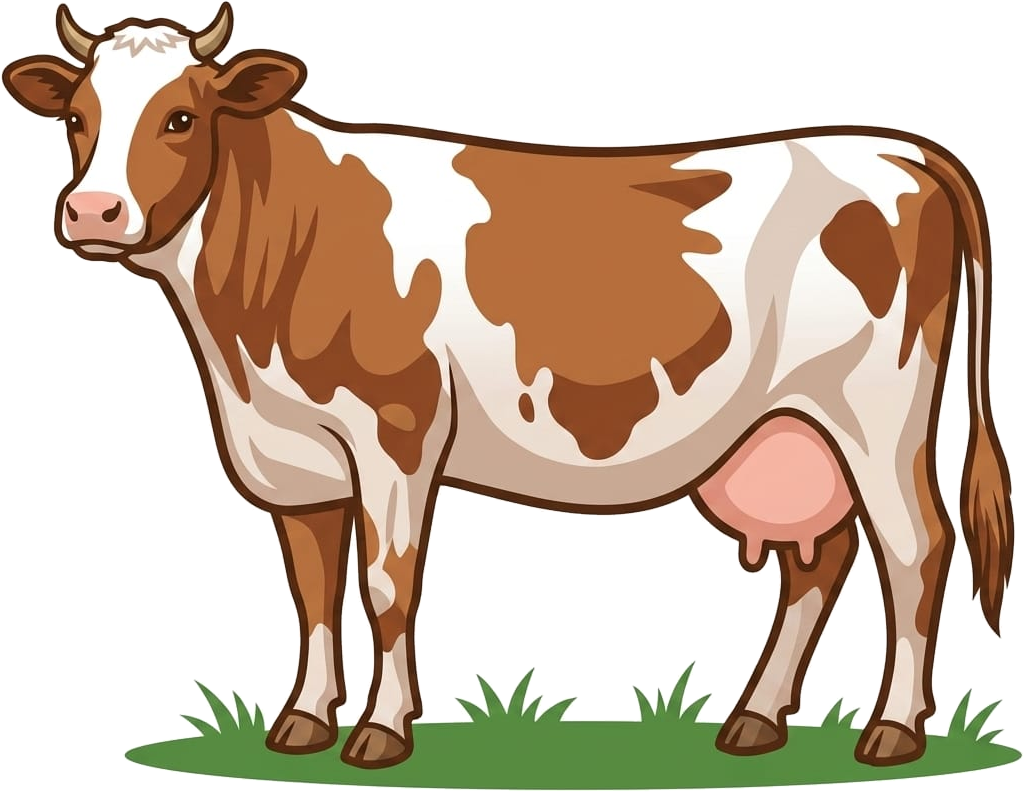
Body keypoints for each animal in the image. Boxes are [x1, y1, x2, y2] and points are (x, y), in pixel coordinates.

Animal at [3, 3, 1013, 770]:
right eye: (76, 118)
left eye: (181, 117)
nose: (92, 211)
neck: (240, 338)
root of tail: (905, 153)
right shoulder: (291, 454)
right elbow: (310, 588)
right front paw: (301, 719)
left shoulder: (397, 428)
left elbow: (385, 582)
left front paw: (380, 730)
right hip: (789, 430)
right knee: (820, 560)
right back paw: (755, 719)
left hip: (878, 412)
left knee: (915, 549)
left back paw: (891, 729)